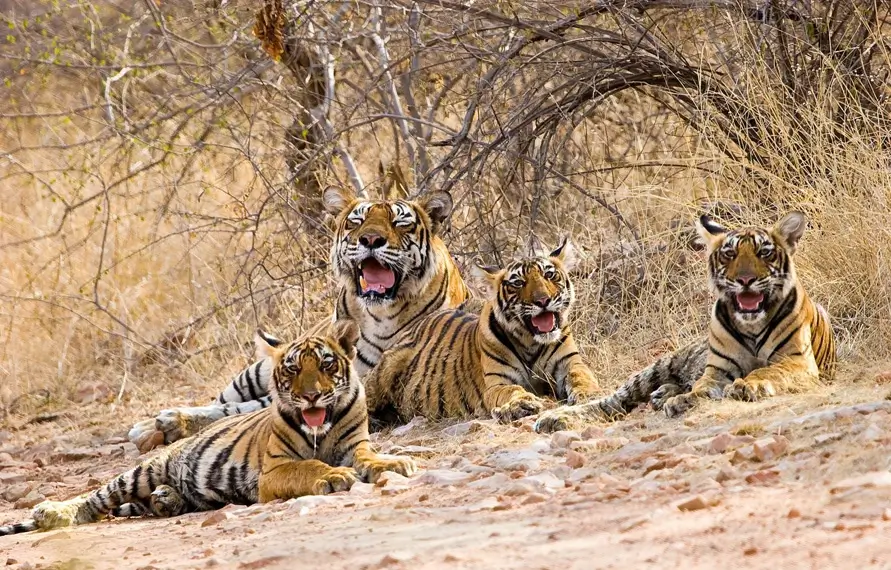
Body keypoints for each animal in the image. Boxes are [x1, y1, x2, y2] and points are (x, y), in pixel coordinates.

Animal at [1, 321, 416, 536]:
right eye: (293, 369)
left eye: (327, 365)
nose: (312, 396)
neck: (322, 429)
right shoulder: (275, 470)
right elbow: (308, 466)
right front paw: (332, 477)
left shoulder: (356, 445)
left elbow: (371, 458)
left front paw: (395, 464)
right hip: (144, 470)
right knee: (95, 499)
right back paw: (53, 514)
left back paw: (166, 499)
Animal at [128, 185, 470, 448]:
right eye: (356, 223)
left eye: (400, 224)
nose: (371, 240)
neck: (381, 313)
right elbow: (235, 408)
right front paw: (170, 422)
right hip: (254, 372)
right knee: (220, 400)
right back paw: (149, 427)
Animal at [363, 238, 600, 425]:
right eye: (518, 283)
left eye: (549, 275)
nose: (543, 301)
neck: (530, 341)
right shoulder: (497, 382)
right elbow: (511, 391)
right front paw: (522, 404)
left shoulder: (570, 363)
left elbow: (582, 376)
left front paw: (589, 393)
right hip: (384, 370)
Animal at [534, 211, 836, 433]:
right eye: (730, 254)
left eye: (764, 253)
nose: (745, 280)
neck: (751, 324)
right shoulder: (717, 370)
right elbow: (702, 387)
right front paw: (684, 401)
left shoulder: (796, 361)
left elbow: (767, 371)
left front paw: (746, 385)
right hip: (657, 367)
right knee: (611, 401)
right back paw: (553, 418)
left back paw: (662, 394)